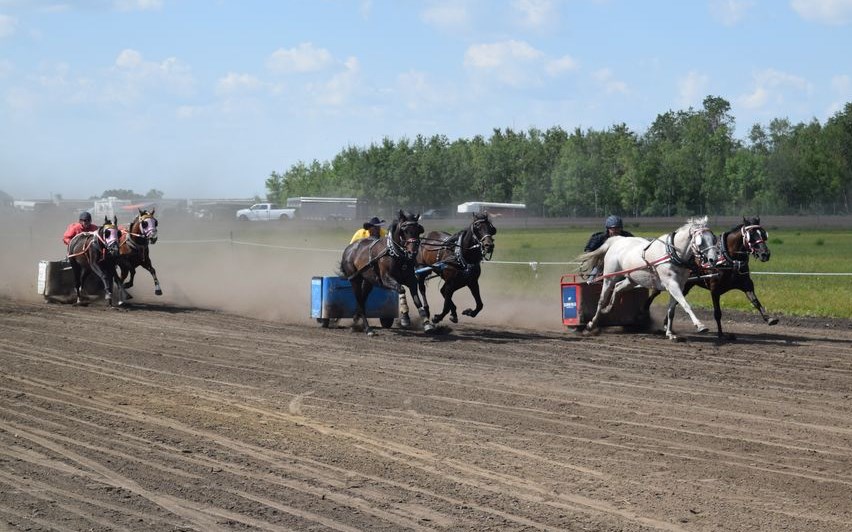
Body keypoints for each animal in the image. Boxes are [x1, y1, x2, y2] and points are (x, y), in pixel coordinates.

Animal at [580, 216, 720, 340]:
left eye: (713, 239)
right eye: (701, 241)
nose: (713, 259)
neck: (672, 255)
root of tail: (618, 240)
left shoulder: (679, 285)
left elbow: (671, 311)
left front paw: (669, 333)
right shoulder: (672, 284)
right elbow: (686, 305)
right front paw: (700, 325)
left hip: (631, 280)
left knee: (617, 288)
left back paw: (608, 308)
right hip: (610, 276)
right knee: (602, 299)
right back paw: (591, 324)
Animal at [644, 216, 780, 340]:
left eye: (763, 234)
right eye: (751, 235)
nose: (765, 254)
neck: (728, 259)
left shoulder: (746, 284)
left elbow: (755, 301)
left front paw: (769, 318)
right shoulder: (715, 289)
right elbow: (717, 313)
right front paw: (720, 334)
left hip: (686, 286)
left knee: (675, 302)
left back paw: (666, 325)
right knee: (652, 296)